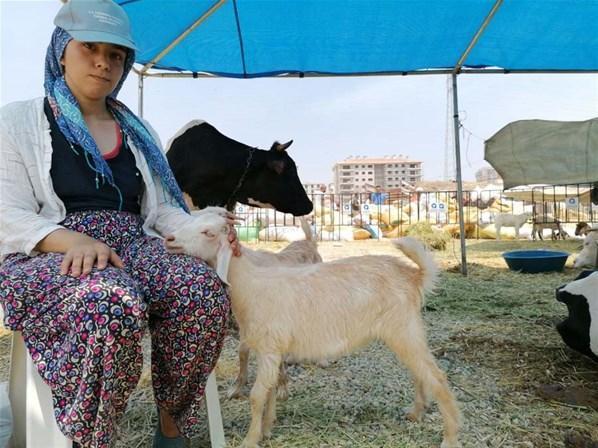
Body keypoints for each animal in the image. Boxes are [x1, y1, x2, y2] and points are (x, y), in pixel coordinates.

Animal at [173, 210, 464, 448]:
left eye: (209, 232)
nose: (170, 239)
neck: (250, 284)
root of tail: (414, 275)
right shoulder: (271, 350)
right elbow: (270, 390)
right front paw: (267, 428)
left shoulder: (269, 348)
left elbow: (257, 396)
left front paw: (250, 439)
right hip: (403, 333)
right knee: (420, 374)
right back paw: (416, 413)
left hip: (404, 329)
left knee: (437, 377)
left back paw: (450, 437)